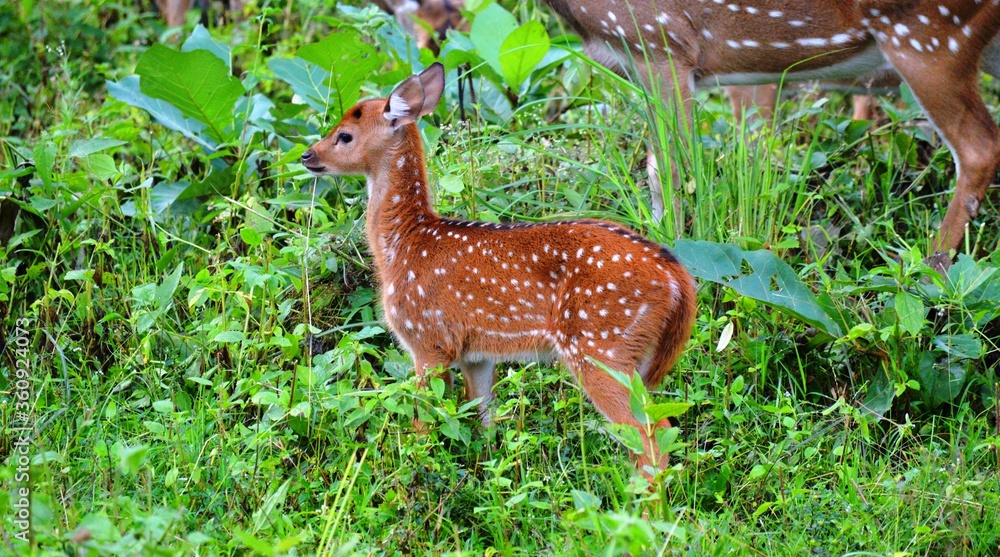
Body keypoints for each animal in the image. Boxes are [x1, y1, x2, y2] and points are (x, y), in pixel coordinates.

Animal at [300, 64, 700, 474]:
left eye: (345, 135)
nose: (306, 155)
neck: (404, 246)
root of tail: (676, 279)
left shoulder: (428, 339)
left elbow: (424, 422)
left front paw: (416, 465)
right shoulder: (476, 354)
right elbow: (485, 421)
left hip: (600, 343)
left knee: (652, 432)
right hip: (640, 353)